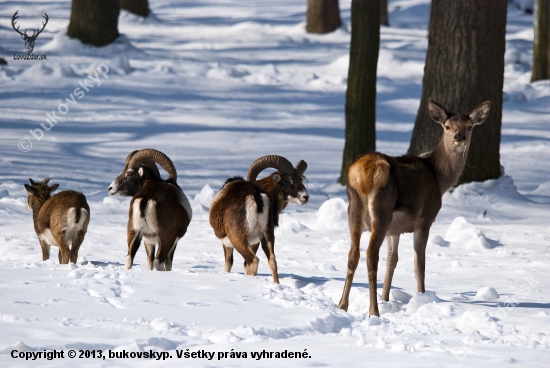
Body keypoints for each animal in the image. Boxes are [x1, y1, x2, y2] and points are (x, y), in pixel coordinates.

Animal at [338, 98, 494, 316]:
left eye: (469, 126)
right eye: (447, 126)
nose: (459, 137)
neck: (439, 178)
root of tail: (363, 173)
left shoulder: (395, 230)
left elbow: (392, 260)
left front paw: (386, 298)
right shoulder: (425, 219)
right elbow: (419, 263)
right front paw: (422, 297)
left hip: (354, 209)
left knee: (353, 253)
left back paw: (342, 305)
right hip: (382, 209)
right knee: (370, 255)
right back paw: (373, 311)